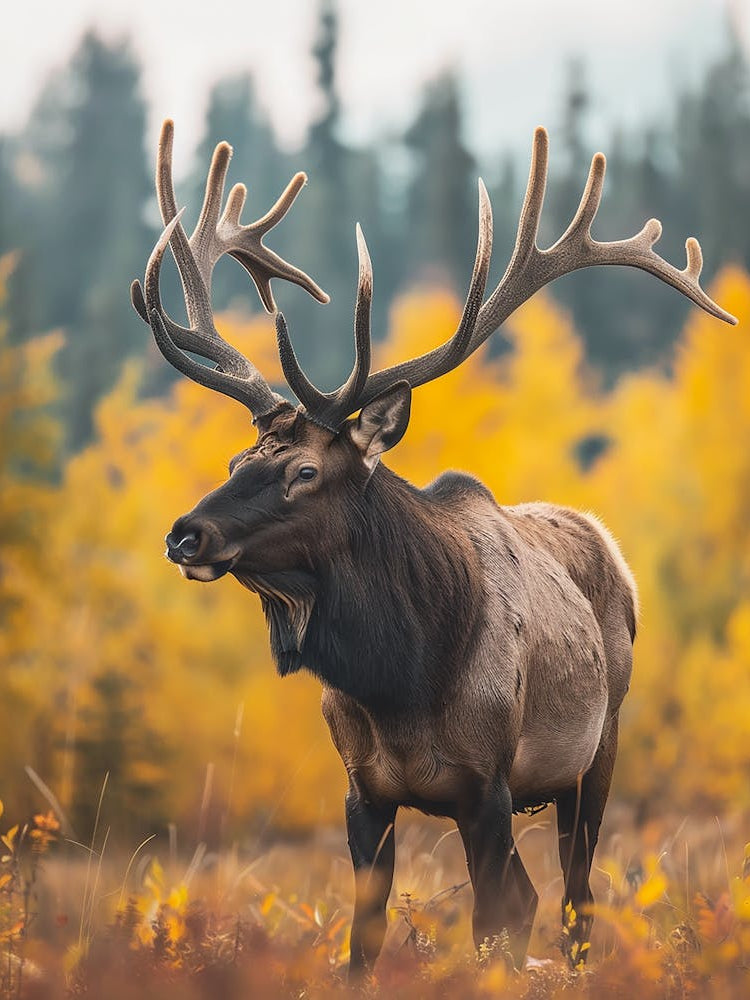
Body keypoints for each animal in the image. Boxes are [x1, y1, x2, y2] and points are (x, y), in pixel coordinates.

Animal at [131, 119, 736, 977]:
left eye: (305, 471)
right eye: (235, 461)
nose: (186, 532)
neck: (401, 679)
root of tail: (612, 549)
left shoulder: (487, 784)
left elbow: (493, 925)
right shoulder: (364, 791)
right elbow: (365, 938)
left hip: (600, 747)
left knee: (575, 899)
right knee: (543, 897)